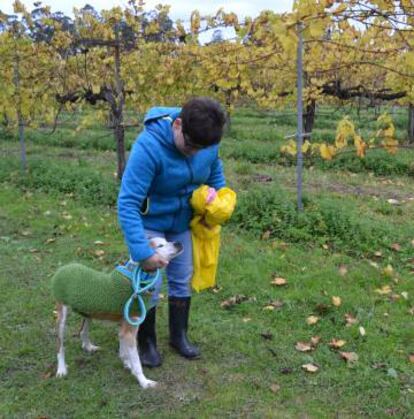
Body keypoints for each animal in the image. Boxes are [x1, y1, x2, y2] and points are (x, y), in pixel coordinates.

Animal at [52, 238, 183, 388]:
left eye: (167, 240)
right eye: (160, 245)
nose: (179, 243)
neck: (135, 278)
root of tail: (64, 267)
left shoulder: (123, 328)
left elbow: (124, 352)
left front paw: (127, 365)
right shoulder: (130, 331)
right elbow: (136, 361)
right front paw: (143, 381)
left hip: (88, 313)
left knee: (82, 331)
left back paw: (88, 346)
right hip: (62, 318)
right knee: (60, 346)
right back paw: (61, 369)